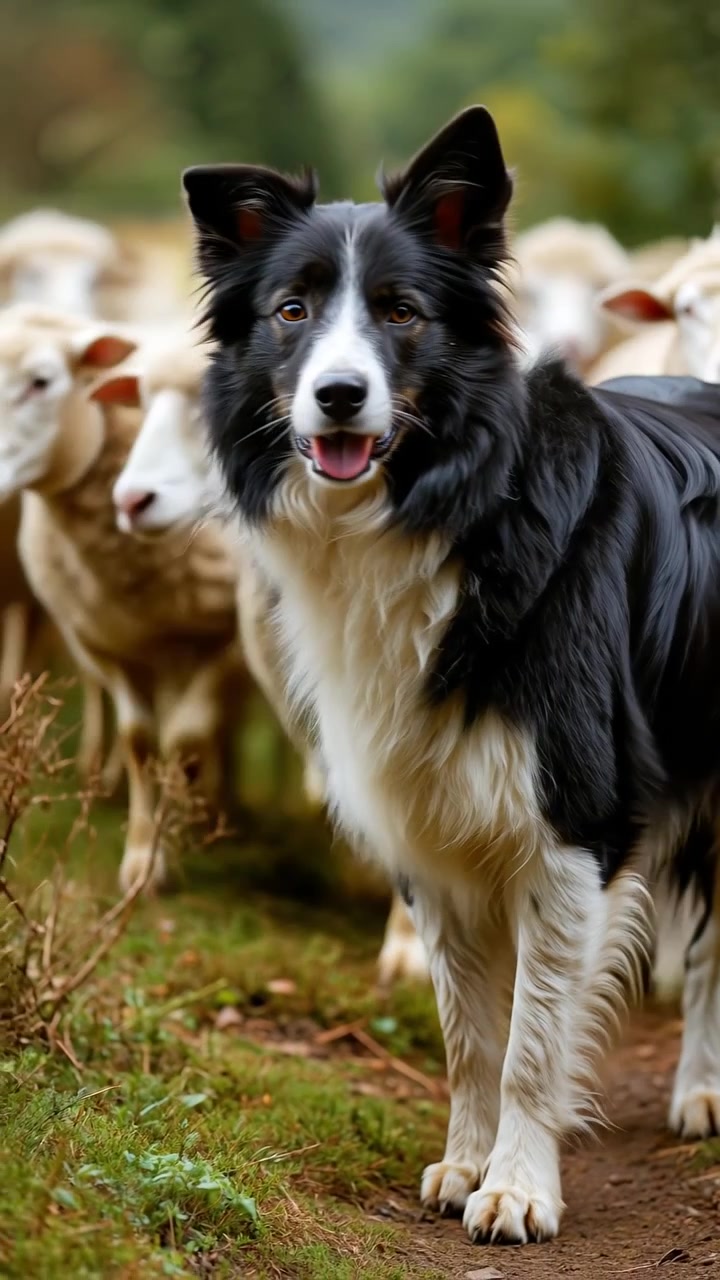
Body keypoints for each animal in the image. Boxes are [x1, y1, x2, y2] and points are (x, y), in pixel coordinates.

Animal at [0, 304, 242, 892]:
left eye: (41, 381)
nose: (133, 501)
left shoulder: (234, 642)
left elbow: (187, 738)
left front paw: (169, 840)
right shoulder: (104, 641)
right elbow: (140, 740)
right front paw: (141, 857)